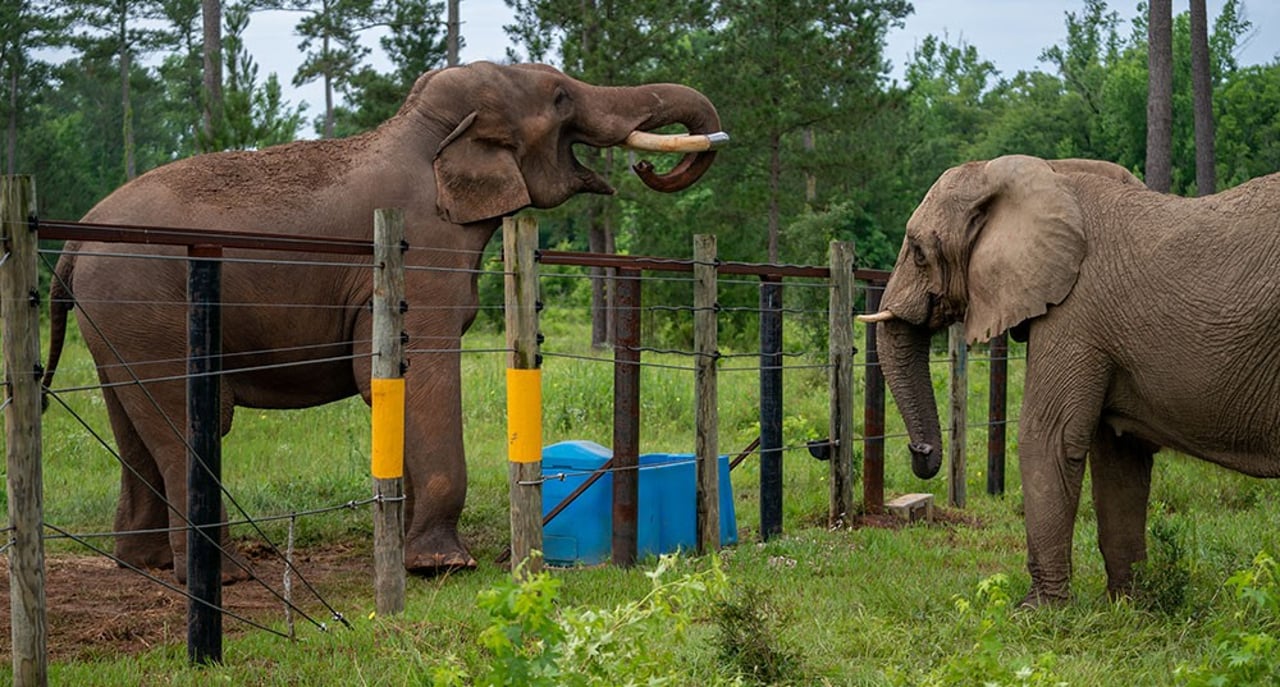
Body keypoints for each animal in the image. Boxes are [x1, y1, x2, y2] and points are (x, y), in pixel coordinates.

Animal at [45, 61, 727, 580]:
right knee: (194, 415)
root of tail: (75, 242)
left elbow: (389, 384)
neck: (427, 131)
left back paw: (146, 565)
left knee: (132, 418)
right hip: (147, 301)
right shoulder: (422, 247)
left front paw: (406, 549)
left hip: (118, 320)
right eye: (560, 98)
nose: (644, 167)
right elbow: (417, 370)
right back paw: (225, 576)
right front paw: (444, 565)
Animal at [860, 154, 1280, 606]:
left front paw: (1036, 610)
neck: (1051, 172)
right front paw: (1127, 606)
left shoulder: (1074, 312)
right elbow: (1119, 456)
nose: (919, 450)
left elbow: (1047, 437)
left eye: (919, 253)